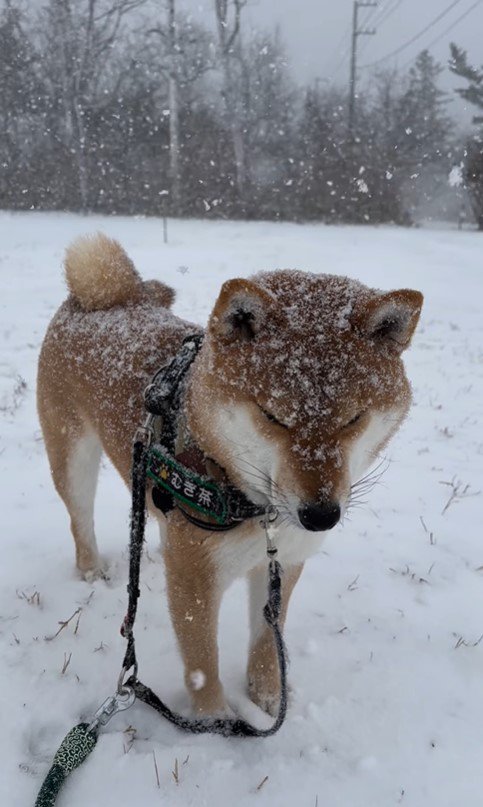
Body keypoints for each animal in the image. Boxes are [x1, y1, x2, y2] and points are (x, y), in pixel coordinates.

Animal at [36, 232, 424, 712]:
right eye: (274, 417)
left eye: (354, 419)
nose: (321, 516)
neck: (253, 506)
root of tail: (98, 298)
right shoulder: (196, 581)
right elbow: (203, 666)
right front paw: (216, 721)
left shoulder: (283, 562)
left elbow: (267, 641)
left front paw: (269, 696)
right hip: (72, 459)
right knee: (80, 519)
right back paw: (90, 570)